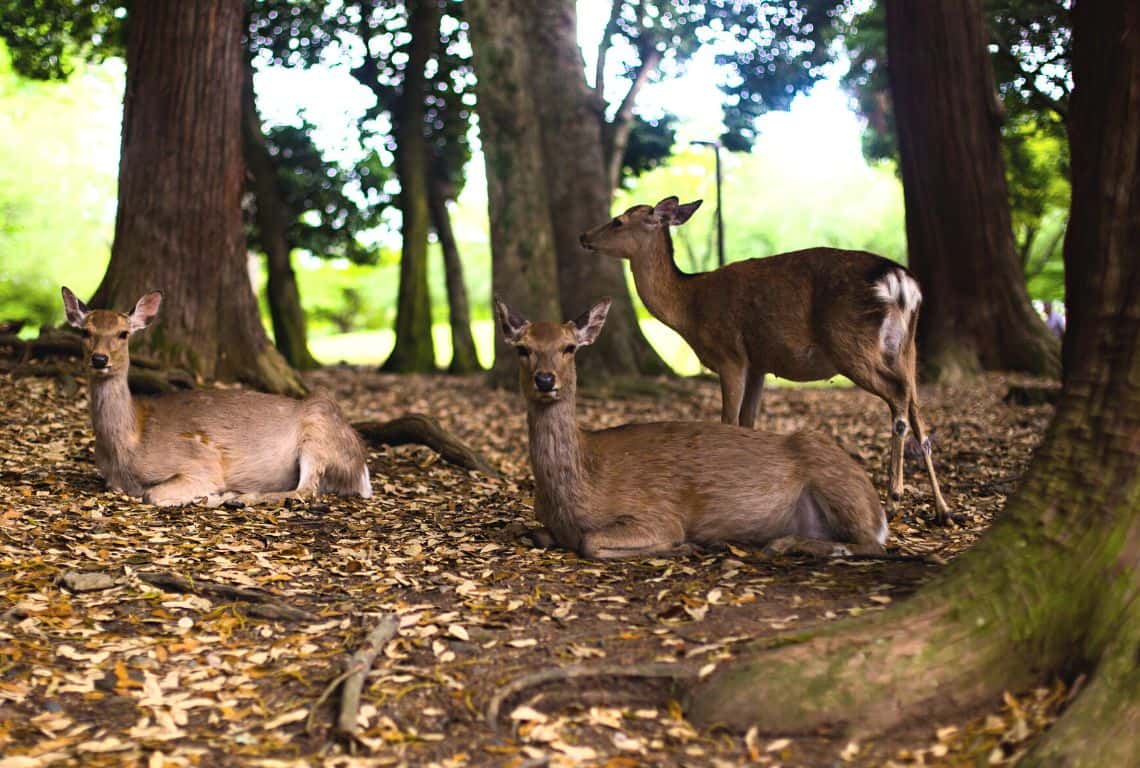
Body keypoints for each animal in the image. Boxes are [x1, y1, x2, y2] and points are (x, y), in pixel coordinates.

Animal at [60, 283, 371, 505]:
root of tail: (362, 471)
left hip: (319, 430)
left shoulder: (201, 461)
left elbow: (153, 495)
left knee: (306, 490)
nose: (99, 359)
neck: (128, 446)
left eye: (123, 333)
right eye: (85, 332)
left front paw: (210, 495)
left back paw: (237, 497)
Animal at [494, 293, 884, 556]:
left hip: (832, 473)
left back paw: (784, 544)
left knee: (873, 544)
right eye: (522, 348)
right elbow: (533, 533)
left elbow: (591, 542)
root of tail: (879, 510)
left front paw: (684, 546)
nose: (545, 379)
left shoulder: (657, 513)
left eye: (570, 347)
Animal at [579, 194, 953, 524]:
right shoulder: (758, 363)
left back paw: (894, 500)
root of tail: (902, 284)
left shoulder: (729, 353)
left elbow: (729, 421)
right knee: (916, 404)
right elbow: (749, 422)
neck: (689, 308)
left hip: (850, 342)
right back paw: (943, 510)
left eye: (618, 220)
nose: (584, 236)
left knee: (898, 397)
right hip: (907, 348)